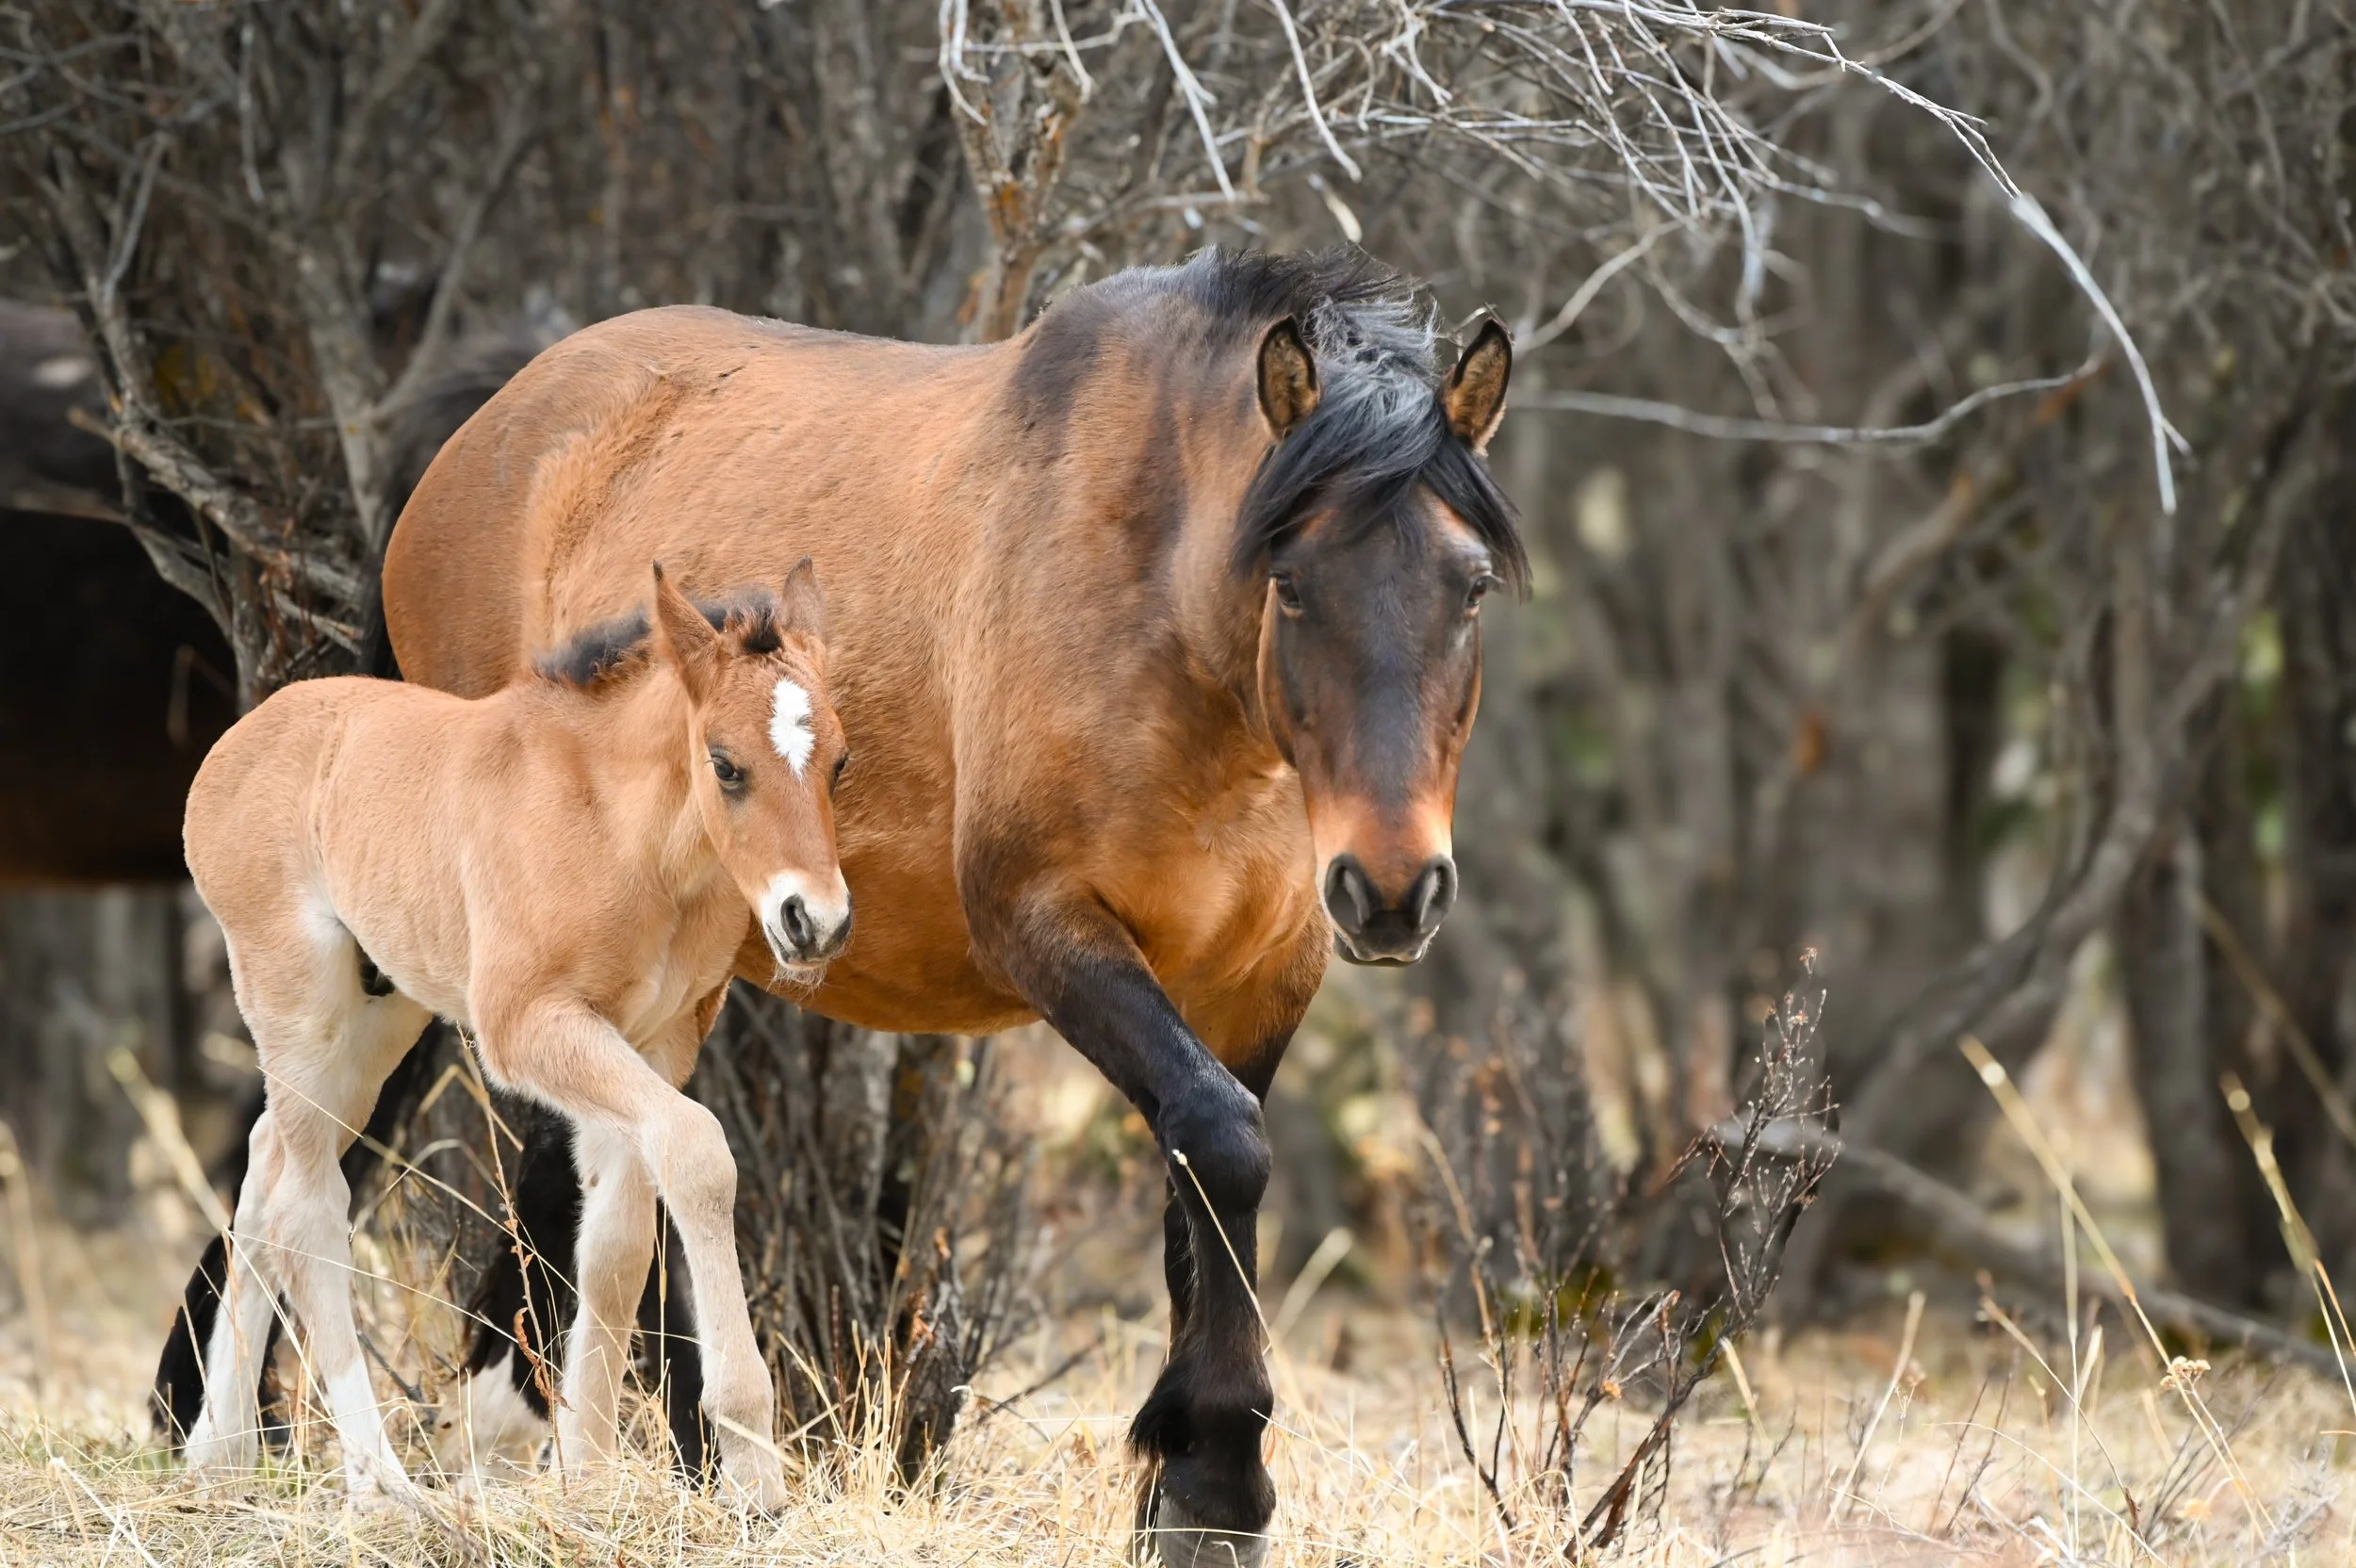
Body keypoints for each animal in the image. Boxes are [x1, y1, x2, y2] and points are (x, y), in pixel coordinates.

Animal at [178, 560, 848, 1508]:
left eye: (841, 762)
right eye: (726, 765)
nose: (814, 922)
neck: (626, 837)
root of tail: (234, 746)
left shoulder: (658, 1040)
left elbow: (615, 1245)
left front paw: (590, 1477)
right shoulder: (528, 1025)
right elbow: (698, 1154)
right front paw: (752, 1463)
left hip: (378, 1018)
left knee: (267, 1161)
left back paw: (220, 1451)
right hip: (299, 1002)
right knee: (307, 1203)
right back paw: (380, 1484)